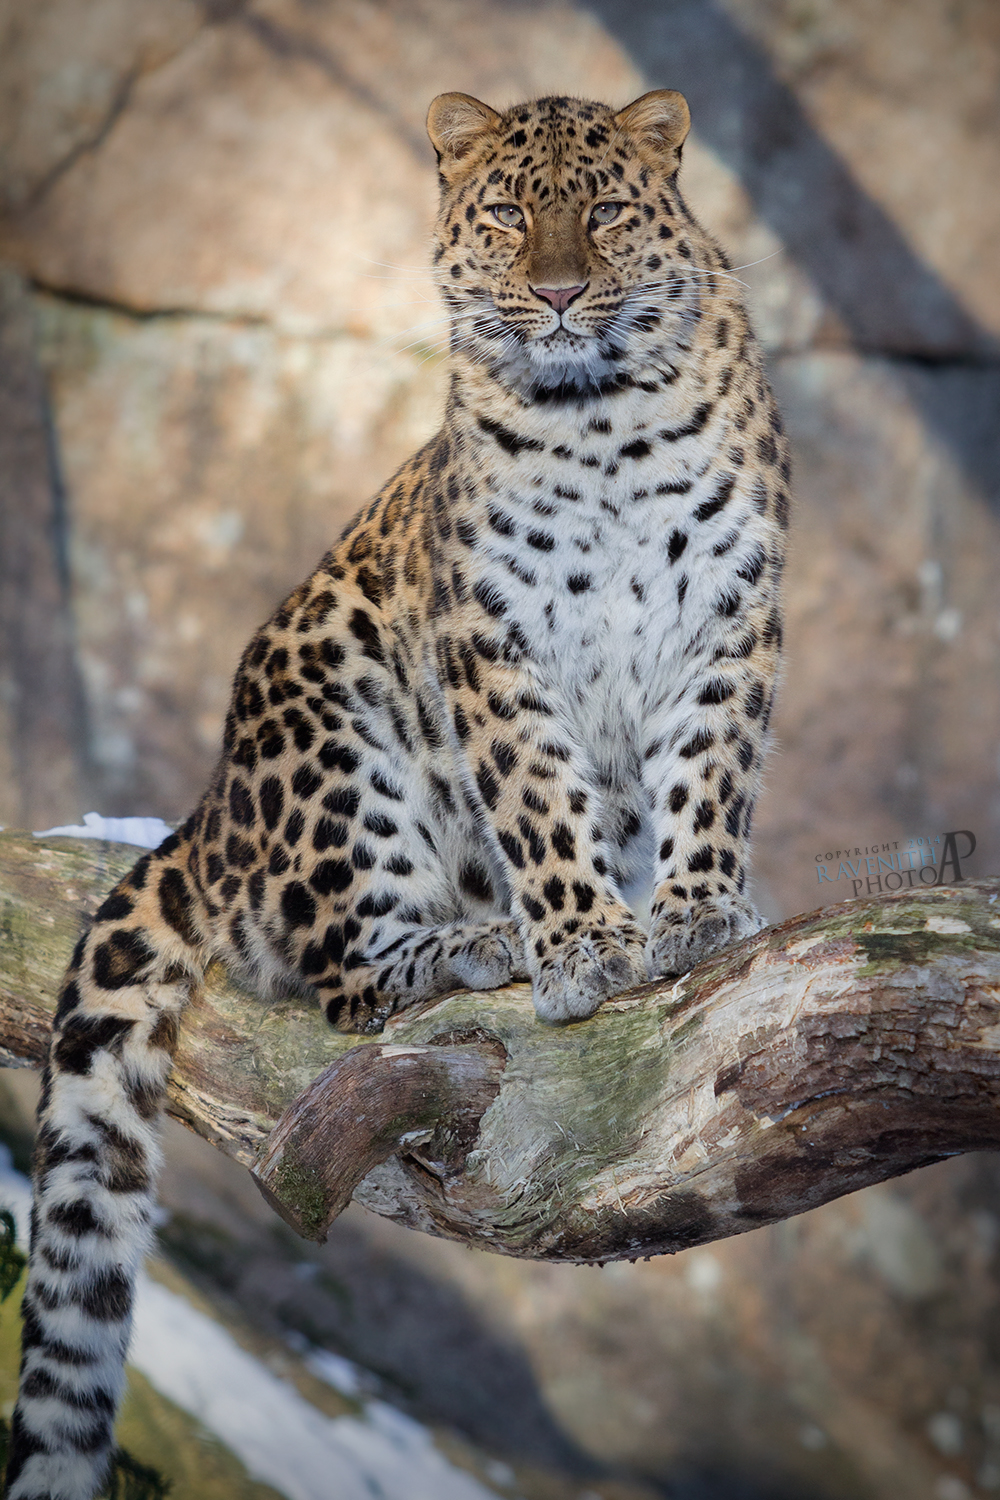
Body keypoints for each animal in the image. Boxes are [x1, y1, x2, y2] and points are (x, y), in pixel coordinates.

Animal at [5, 87, 791, 1494]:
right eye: (508, 213)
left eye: (602, 210)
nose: (555, 293)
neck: (599, 420)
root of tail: (206, 816)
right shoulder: (491, 641)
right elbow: (537, 803)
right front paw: (582, 947)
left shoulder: (726, 619)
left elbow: (710, 777)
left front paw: (695, 910)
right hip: (335, 708)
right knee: (332, 977)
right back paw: (475, 945)